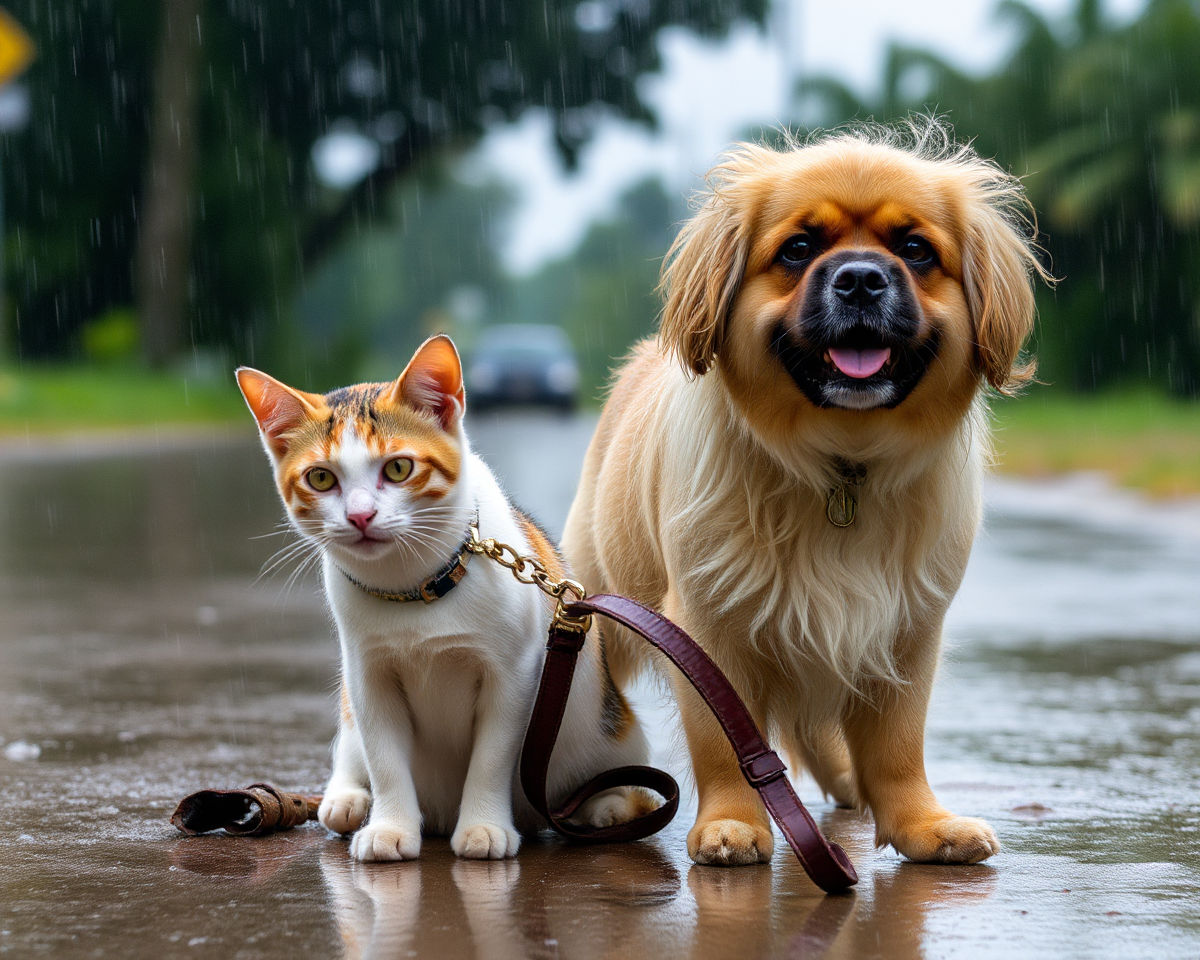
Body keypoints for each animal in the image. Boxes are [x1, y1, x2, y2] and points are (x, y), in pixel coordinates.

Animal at [235, 336, 657, 864]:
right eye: (321, 479)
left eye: (398, 468)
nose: (359, 517)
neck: (414, 588)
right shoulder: (368, 677)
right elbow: (384, 757)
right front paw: (390, 825)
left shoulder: (514, 676)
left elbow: (492, 757)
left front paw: (483, 825)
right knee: (351, 749)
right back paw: (348, 799)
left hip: (614, 733)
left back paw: (608, 804)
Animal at [561, 116, 1051, 864]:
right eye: (798, 250)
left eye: (915, 250)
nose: (860, 279)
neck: (840, 464)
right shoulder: (709, 628)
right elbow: (729, 744)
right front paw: (733, 824)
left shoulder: (904, 631)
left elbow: (898, 745)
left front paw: (921, 824)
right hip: (599, 610)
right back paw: (611, 800)